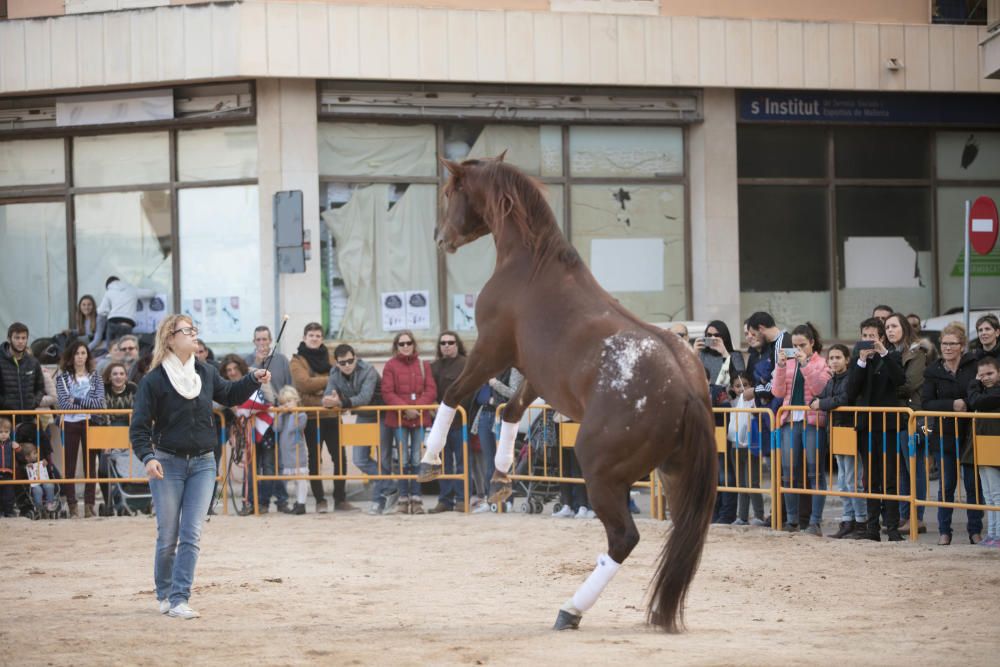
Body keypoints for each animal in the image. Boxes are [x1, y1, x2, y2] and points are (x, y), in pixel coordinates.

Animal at [418, 154, 716, 636]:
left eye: (449, 192)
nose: (442, 238)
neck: (530, 265)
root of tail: (688, 390)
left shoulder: (492, 347)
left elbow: (457, 394)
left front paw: (429, 459)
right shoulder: (537, 373)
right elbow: (510, 409)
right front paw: (500, 478)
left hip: (600, 473)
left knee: (623, 538)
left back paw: (570, 610)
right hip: (675, 475)